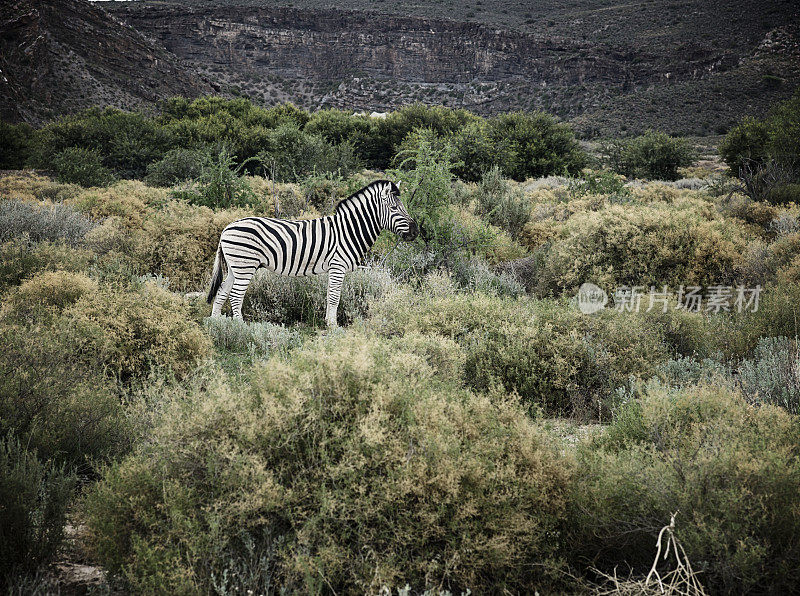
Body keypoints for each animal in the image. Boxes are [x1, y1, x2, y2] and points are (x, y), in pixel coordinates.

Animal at [206, 178, 418, 326]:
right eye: (394, 208)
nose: (416, 232)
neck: (349, 230)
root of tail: (227, 228)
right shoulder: (338, 266)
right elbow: (334, 297)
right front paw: (333, 325)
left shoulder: (335, 268)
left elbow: (331, 295)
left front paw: (329, 322)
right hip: (245, 264)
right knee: (236, 295)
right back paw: (241, 327)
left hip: (236, 266)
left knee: (223, 290)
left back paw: (217, 324)